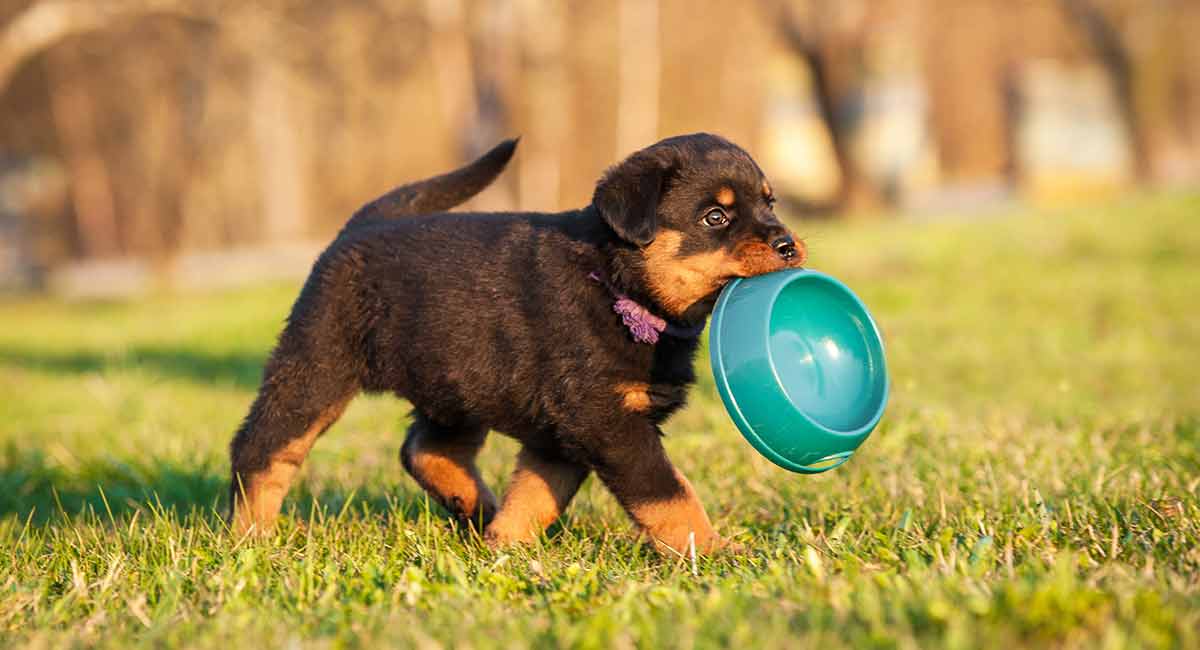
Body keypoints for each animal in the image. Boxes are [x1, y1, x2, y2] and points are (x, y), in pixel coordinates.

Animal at [226, 132, 806, 556]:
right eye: (716, 217)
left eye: (770, 203)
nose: (788, 244)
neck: (617, 284)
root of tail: (360, 225)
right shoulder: (605, 419)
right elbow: (669, 492)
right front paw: (715, 550)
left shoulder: (563, 431)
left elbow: (535, 494)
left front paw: (505, 546)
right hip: (317, 364)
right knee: (262, 448)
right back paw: (250, 536)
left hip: (453, 379)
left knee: (425, 448)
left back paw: (475, 506)